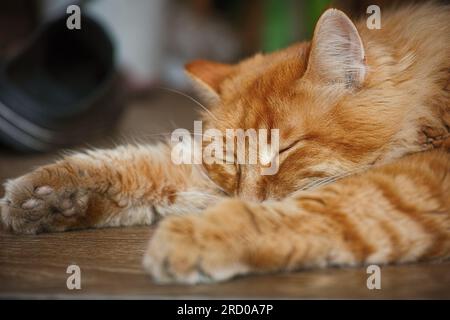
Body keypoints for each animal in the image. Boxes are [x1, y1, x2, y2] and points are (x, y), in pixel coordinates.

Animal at [0, 1, 450, 282]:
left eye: (285, 150)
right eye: (232, 159)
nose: (248, 198)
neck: (427, 95)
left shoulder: (422, 176)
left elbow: (330, 206)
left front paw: (199, 236)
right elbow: (141, 165)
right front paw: (48, 196)